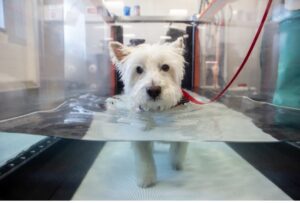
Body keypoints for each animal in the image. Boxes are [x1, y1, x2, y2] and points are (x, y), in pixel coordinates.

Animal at [108, 37, 188, 188]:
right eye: (138, 69)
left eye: (165, 67)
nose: (154, 90)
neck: (156, 111)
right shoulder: (140, 135)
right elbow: (144, 159)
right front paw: (146, 180)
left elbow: (178, 149)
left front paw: (176, 164)